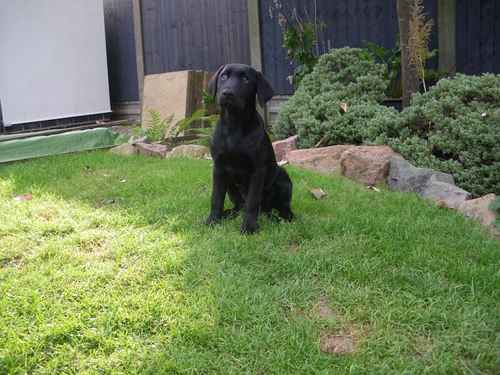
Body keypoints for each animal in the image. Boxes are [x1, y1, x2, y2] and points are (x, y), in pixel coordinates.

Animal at [206, 64, 294, 235]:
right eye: (223, 77)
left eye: (246, 79)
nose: (227, 93)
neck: (234, 125)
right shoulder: (218, 167)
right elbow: (216, 198)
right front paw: (213, 220)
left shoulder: (257, 170)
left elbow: (252, 201)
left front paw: (249, 227)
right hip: (231, 186)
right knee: (240, 205)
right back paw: (229, 214)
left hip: (283, 176)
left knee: (281, 206)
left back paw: (283, 217)